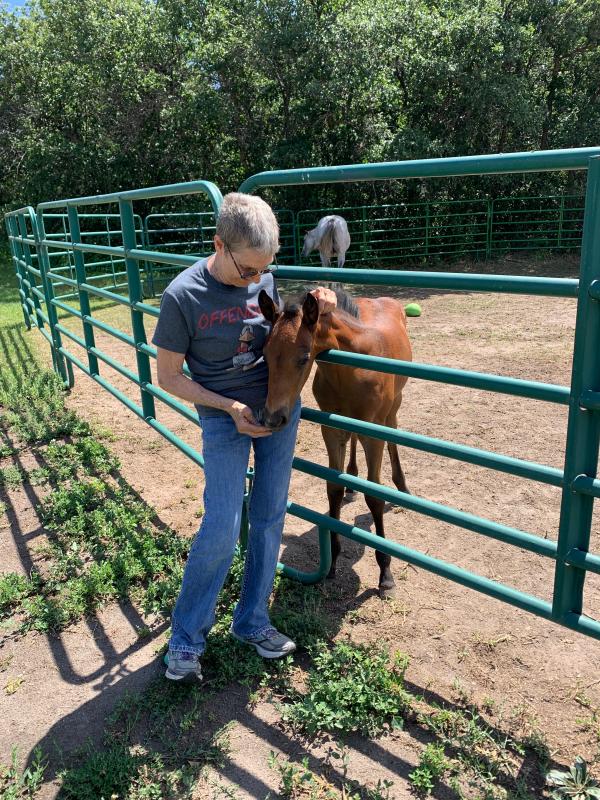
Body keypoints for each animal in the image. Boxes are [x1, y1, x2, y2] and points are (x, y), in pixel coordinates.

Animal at [258, 286, 412, 599]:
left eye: (303, 357)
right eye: (265, 355)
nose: (273, 418)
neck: (351, 369)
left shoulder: (372, 434)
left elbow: (374, 496)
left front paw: (386, 574)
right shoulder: (330, 428)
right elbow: (334, 489)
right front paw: (332, 560)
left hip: (393, 407)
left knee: (393, 432)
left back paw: (401, 486)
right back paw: (353, 475)